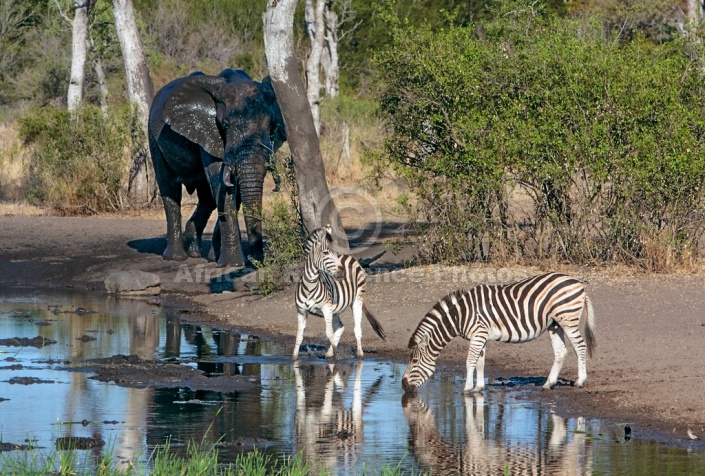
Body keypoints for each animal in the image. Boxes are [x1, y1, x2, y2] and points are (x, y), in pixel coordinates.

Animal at [148, 69, 286, 266]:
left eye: (272, 125)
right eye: (225, 124)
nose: (258, 260)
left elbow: (232, 191)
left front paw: (218, 258)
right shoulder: (209, 132)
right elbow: (222, 186)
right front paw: (232, 264)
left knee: (207, 199)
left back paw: (195, 251)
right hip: (153, 137)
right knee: (170, 190)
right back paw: (176, 257)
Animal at [294, 225, 388, 358]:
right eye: (325, 253)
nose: (342, 272)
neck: (309, 288)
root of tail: (348, 257)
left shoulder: (326, 309)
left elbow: (329, 333)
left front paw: (336, 357)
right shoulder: (301, 311)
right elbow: (299, 337)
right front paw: (294, 358)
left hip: (356, 300)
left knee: (357, 328)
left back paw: (359, 354)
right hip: (334, 308)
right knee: (340, 327)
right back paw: (329, 353)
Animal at [402, 272, 592, 394]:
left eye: (415, 361)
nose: (403, 386)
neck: (460, 316)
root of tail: (577, 281)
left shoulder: (478, 334)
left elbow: (470, 362)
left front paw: (466, 388)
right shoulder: (481, 336)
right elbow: (480, 362)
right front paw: (478, 387)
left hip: (568, 319)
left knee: (580, 346)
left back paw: (580, 381)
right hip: (555, 324)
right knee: (561, 352)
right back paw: (548, 384)